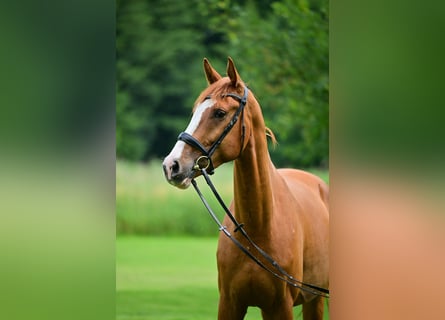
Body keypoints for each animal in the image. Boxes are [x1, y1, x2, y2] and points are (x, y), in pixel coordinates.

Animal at [161, 58, 328, 320]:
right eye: (194, 112)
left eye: (219, 113)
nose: (172, 165)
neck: (258, 229)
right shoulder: (230, 304)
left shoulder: (279, 307)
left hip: (316, 299)